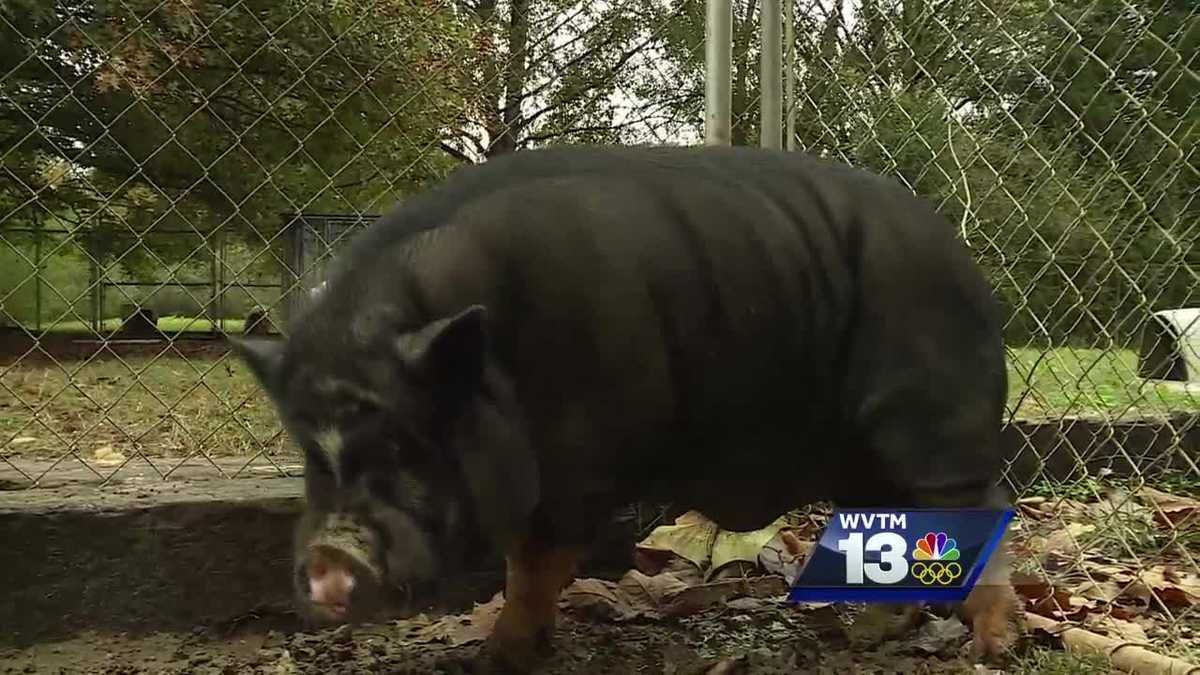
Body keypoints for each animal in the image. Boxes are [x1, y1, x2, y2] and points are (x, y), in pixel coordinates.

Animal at [230, 144, 1018, 672]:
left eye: (407, 445)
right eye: (311, 455)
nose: (329, 557)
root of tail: (959, 255)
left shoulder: (580, 463)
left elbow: (534, 565)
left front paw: (495, 660)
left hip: (930, 417)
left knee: (979, 507)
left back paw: (989, 646)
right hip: (863, 457)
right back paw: (870, 632)